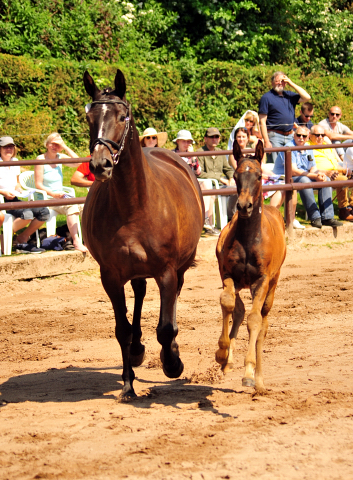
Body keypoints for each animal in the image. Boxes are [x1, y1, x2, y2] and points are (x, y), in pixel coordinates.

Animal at [82, 68, 202, 398]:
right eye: (89, 116)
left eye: (123, 116)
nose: (100, 164)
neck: (133, 205)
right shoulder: (110, 275)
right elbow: (121, 328)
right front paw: (127, 384)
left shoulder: (166, 270)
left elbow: (166, 327)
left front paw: (172, 363)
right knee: (138, 295)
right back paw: (137, 350)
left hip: (179, 269)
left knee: (171, 302)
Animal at [214, 140, 286, 394]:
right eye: (235, 176)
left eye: (258, 176)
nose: (244, 206)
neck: (248, 239)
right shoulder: (228, 274)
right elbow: (228, 304)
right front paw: (222, 353)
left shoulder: (261, 281)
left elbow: (254, 321)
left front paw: (248, 374)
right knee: (238, 310)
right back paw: (228, 361)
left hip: (272, 286)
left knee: (262, 324)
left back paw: (258, 379)